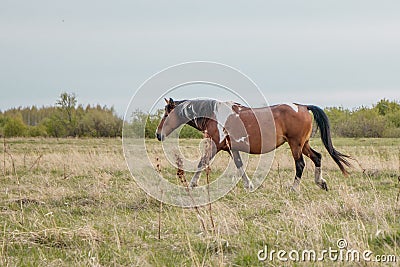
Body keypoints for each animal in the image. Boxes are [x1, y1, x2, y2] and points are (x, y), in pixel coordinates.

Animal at [156, 98, 350, 193]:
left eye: (166, 114)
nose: (158, 134)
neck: (213, 115)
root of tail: (303, 107)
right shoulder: (232, 149)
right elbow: (240, 166)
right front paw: (248, 185)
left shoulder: (215, 146)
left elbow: (202, 163)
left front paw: (192, 185)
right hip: (303, 144)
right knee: (318, 157)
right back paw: (321, 183)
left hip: (296, 145)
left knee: (300, 164)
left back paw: (294, 188)